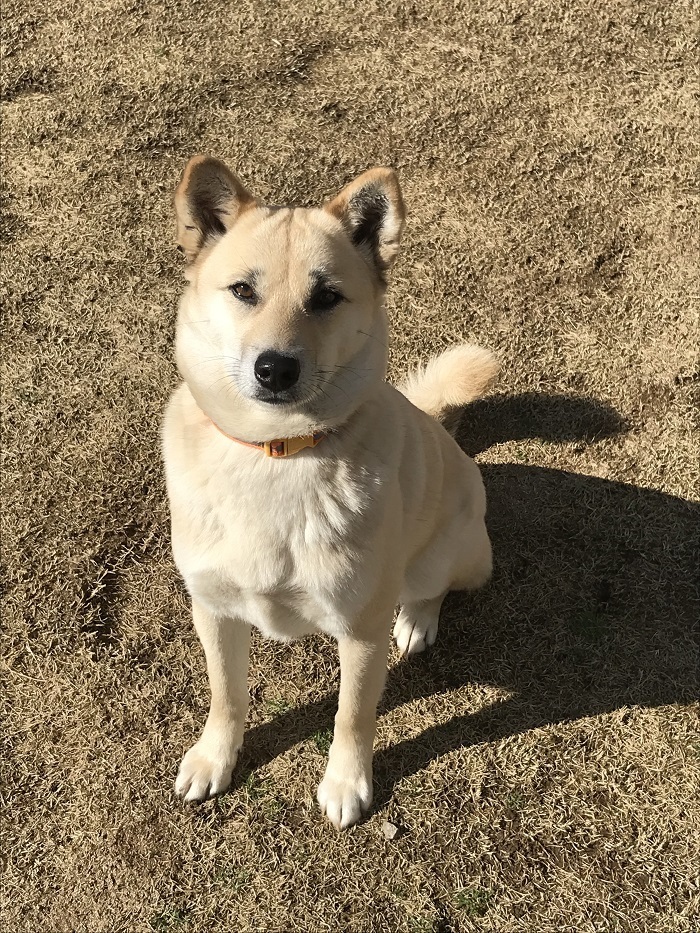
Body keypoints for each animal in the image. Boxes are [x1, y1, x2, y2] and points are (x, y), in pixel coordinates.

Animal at [163, 157, 498, 828]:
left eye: (326, 297)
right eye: (243, 291)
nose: (275, 368)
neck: (276, 454)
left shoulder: (361, 628)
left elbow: (352, 714)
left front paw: (346, 783)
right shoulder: (212, 607)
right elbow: (225, 693)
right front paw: (214, 758)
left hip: (451, 555)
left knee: (432, 588)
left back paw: (417, 622)